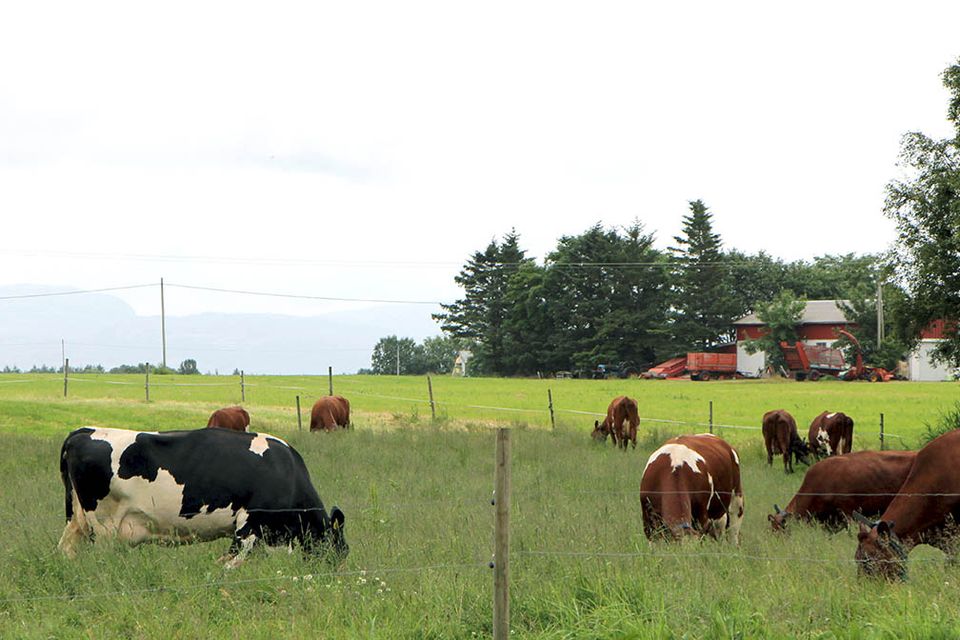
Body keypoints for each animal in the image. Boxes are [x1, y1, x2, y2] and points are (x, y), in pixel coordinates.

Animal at [59, 428, 348, 568]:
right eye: (340, 550)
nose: (335, 578)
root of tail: (83, 431)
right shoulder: (249, 526)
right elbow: (230, 563)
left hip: (78, 520)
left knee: (66, 549)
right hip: (104, 525)